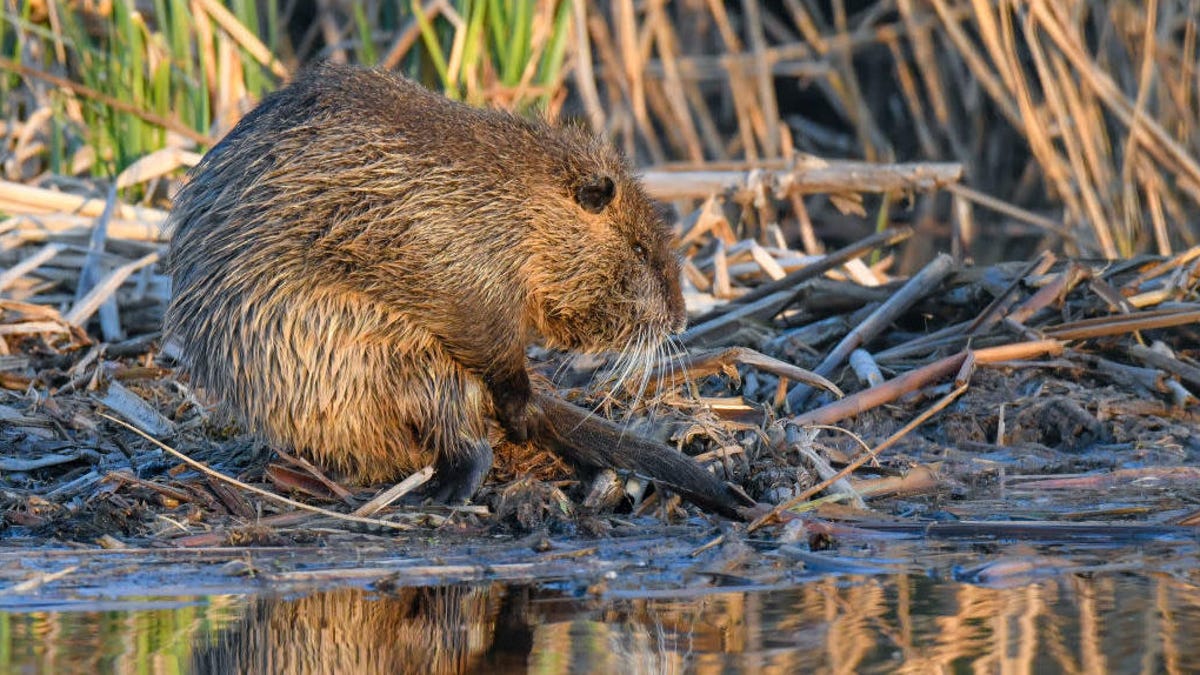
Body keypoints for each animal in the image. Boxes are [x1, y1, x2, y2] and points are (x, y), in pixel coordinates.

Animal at [164, 63, 700, 502]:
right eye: (639, 249)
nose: (679, 320)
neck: (510, 197)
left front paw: (525, 411)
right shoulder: (459, 260)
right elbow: (486, 335)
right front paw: (524, 409)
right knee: (457, 424)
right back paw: (448, 487)